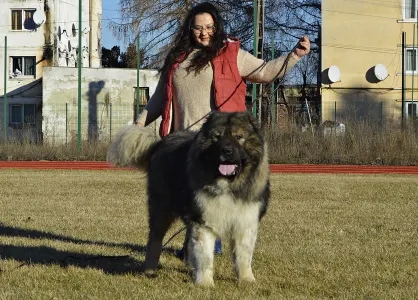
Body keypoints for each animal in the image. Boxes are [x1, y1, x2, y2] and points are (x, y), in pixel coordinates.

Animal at [108, 110, 270, 286]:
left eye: (239, 136)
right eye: (216, 137)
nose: (226, 150)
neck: (227, 184)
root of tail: (159, 143)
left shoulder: (245, 221)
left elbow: (243, 256)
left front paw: (247, 280)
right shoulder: (204, 221)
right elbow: (205, 256)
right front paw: (205, 283)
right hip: (161, 210)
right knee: (154, 240)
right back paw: (150, 269)